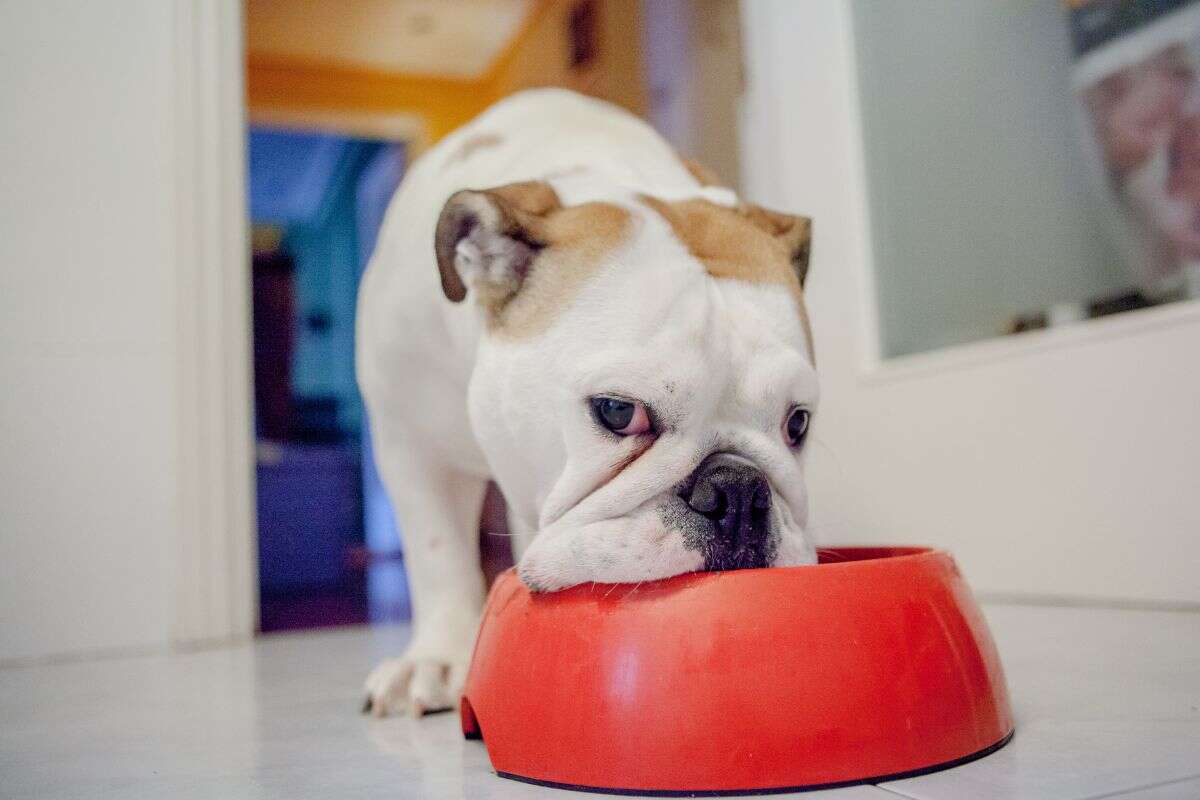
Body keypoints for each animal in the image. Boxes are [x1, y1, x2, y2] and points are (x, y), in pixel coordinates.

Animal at [357, 90, 816, 714]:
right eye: (618, 412)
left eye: (798, 424)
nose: (739, 491)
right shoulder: (412, 442)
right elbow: (438, 553)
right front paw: (437, 658)